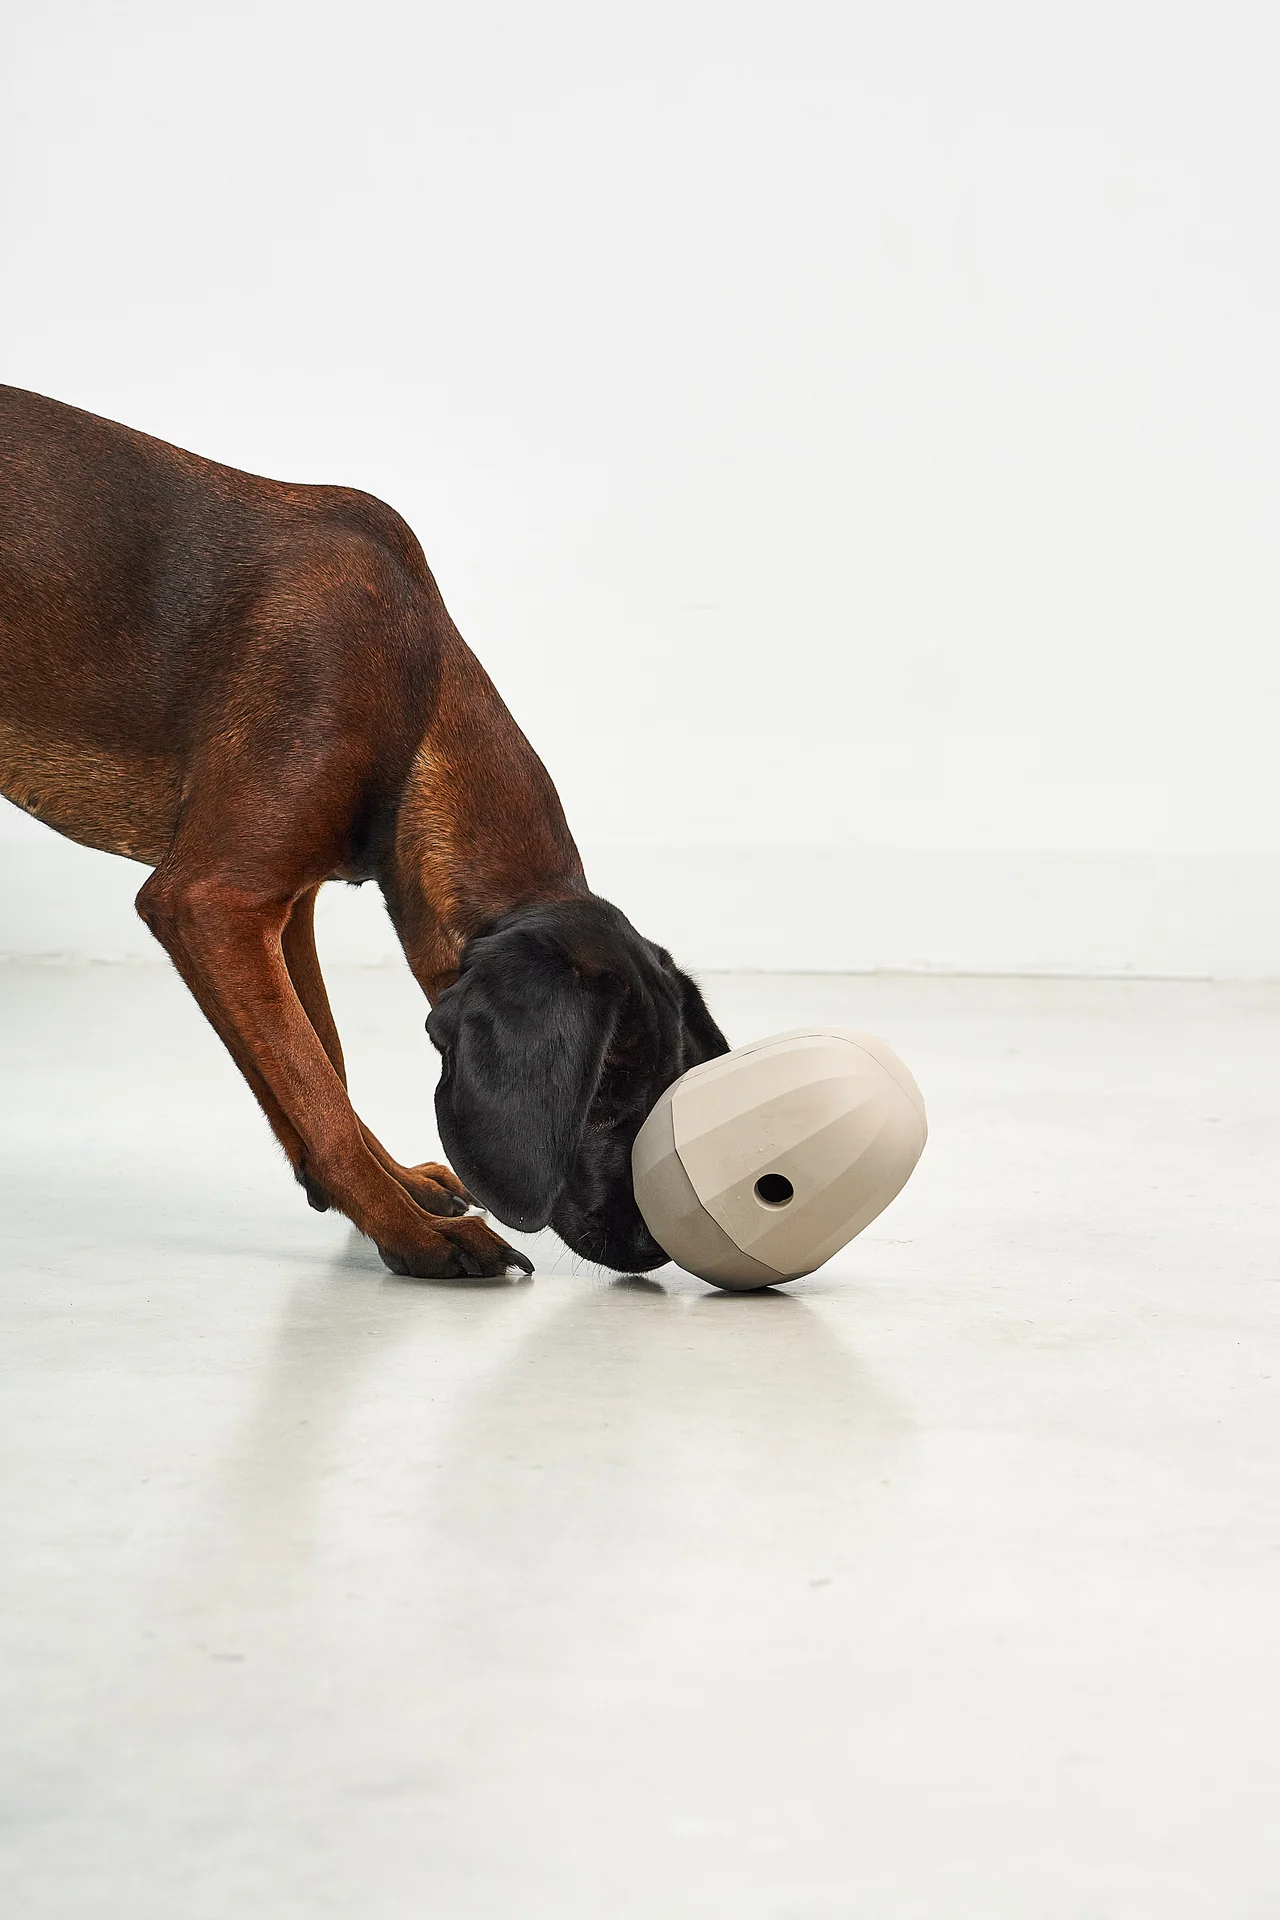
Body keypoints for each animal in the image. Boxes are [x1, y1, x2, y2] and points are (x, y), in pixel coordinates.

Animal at [0, 385, 728, 1278]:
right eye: (600, 1095)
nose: (656, 1245)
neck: (417, 707)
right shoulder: (209, 903)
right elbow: (314, 1084)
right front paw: (409, 1233)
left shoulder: (283, 912)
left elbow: (321, 1064)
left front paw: (391, 1189)